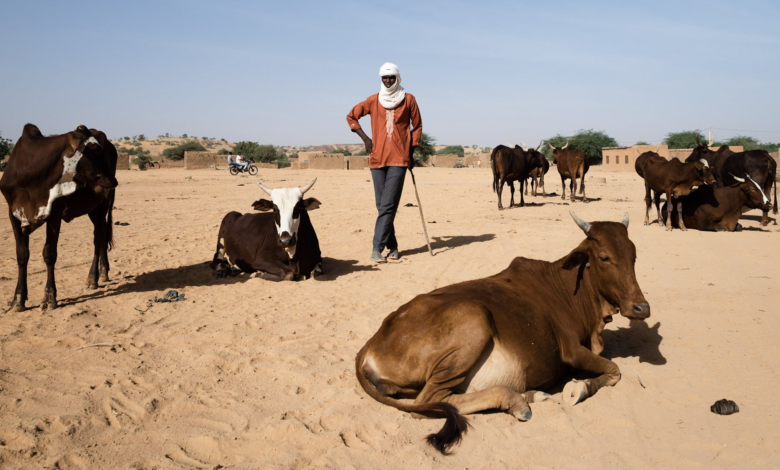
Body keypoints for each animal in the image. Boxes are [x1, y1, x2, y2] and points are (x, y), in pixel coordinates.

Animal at [0, 124, 119, 312]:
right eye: (94, 149)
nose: (113, 181)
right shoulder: (13, 214)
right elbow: (22, 254)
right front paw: (18, 299)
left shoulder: (54, 213)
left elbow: (49, 253)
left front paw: (50, 296)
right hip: (93, 208)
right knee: (102, 236)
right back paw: (103, 272)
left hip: (103, 203)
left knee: (98, 237)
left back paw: (92, 278)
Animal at [356, 211, 648, 454]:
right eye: (604, 257)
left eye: (633, 256)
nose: (641, 307)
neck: (569, 289)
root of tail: (367, 347)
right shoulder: (573, 351)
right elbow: (614, 371)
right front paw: (579, 389)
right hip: (475, 316)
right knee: (428, 402)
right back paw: (515, 400)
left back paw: (529, 395)